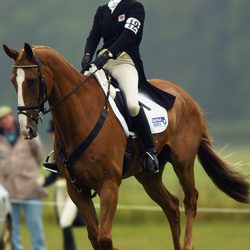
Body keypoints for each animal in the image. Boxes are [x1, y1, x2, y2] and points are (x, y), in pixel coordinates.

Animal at [2, 43, 249, 250]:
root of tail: (187, 98)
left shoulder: (109, 185)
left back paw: (188, 245)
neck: (80, 117)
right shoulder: (77, 190)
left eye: (32, 80)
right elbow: (95, 238)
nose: (26, 129)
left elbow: (105, 239)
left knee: (190, 200)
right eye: (13, 80)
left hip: (183, 162)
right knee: (171, 206)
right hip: (148, 175)